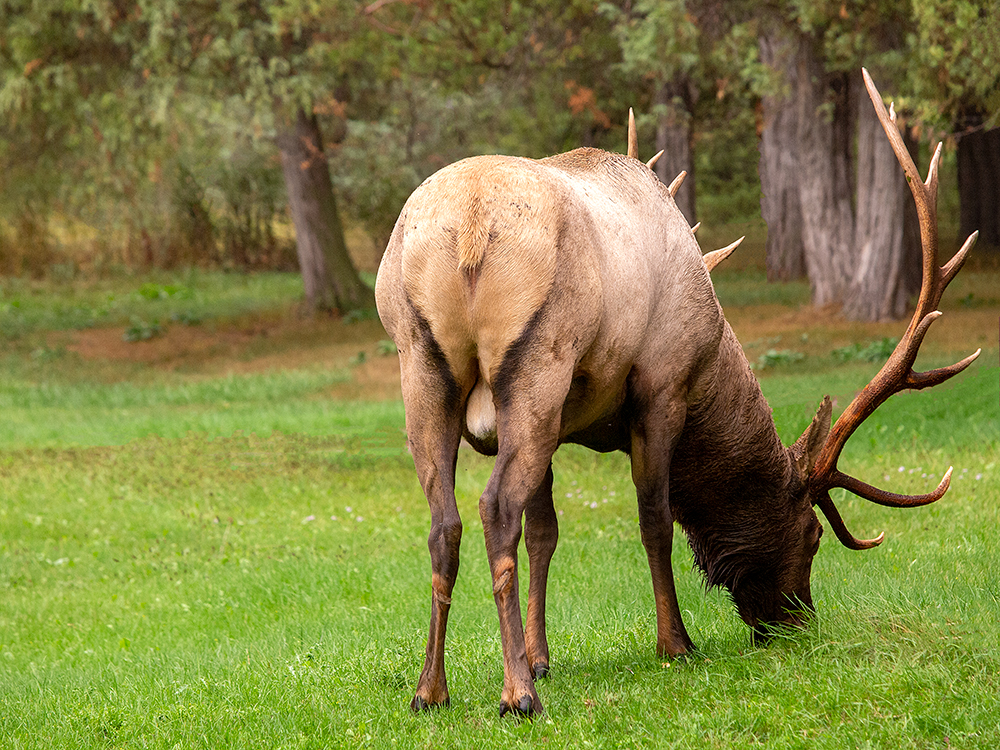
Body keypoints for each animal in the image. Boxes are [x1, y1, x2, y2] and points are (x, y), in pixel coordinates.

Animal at [374, 69, 976, 716]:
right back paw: (517, 695)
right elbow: (655, 517)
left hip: (422, 368)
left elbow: (546, 532)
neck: (710, 356)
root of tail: (469, 227)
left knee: (445, 522)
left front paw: (542, 656)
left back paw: (431, 689)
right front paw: (675, 643)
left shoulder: (561, 426)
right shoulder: (661, 387)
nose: (796, 623)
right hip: (537, 362)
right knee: (495, 508)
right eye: (813, 535)